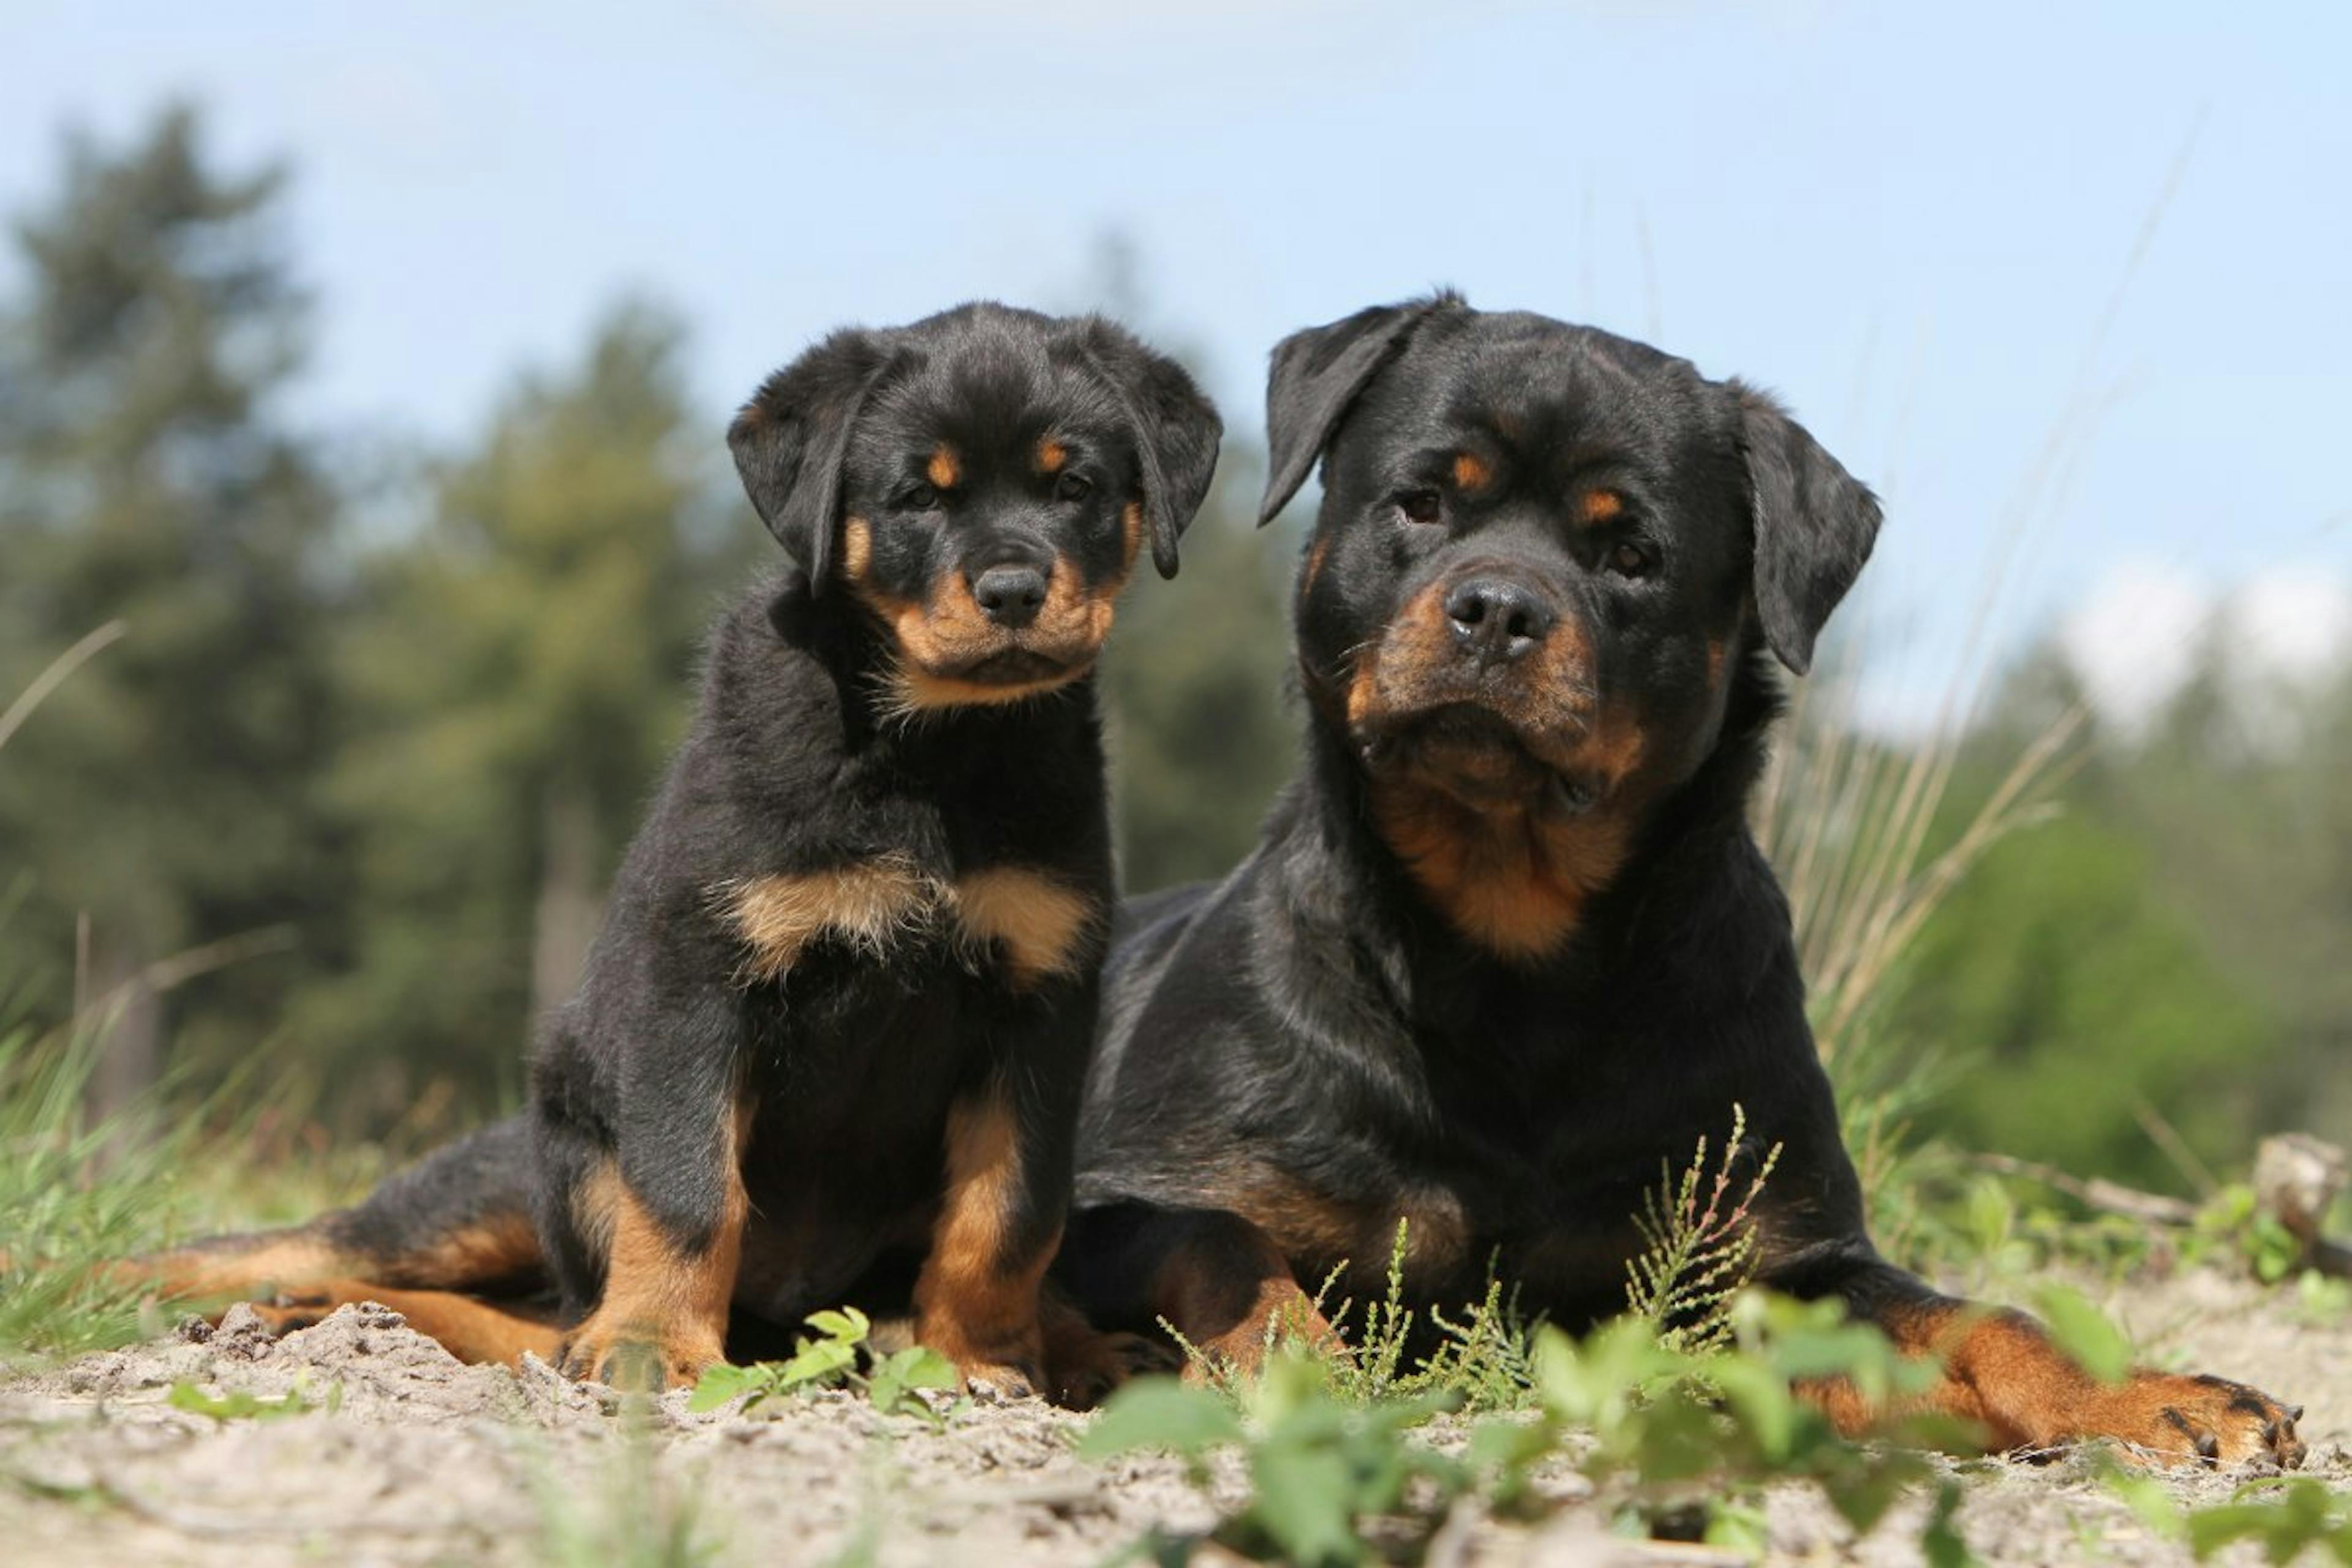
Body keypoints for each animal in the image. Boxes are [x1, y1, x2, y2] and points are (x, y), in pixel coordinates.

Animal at [124, 303, 1232, 1401]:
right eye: (918, 495)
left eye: (1074, 486)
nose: (1011, 590)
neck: (932, 753)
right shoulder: (697, 979)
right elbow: (689, 1189)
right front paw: (654, 1347)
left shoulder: (1039, 997)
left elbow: (1008, 1210)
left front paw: (979, 1357)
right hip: (529, 1154)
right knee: (355, 1254)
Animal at [1068, 293, 2314, 1476]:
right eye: (1419, 504)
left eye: (1634, 558)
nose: (1499, 607)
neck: (1509, 951)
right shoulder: (1129, 1192)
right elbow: (1221, 1242)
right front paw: (1300, 1364)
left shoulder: (1788, 1268)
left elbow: (1982, 1323)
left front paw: (2149, 1395)